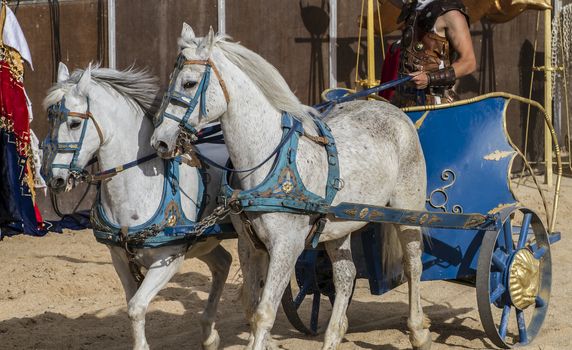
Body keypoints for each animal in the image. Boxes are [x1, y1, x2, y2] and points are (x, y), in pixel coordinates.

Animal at [43, 63, 232, 350]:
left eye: (75, 123)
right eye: (51, 120)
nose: (55, 178)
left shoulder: (169, 258)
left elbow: (136, 307)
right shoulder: (119, 258)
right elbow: (131, 303)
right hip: (205, 241)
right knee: (223, 263)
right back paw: (209, 335)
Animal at [152, 25, 428, 350]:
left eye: (189, 82)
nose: (160, 141)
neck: (267, 158)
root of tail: (396, 113)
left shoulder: (287, 246)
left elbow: (263, 313)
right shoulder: (249, 245)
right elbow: (251, 305)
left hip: (407, 211)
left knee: (413, 265)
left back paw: (418, 331)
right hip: (338, 226)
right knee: (345, 276)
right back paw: (332, 337)